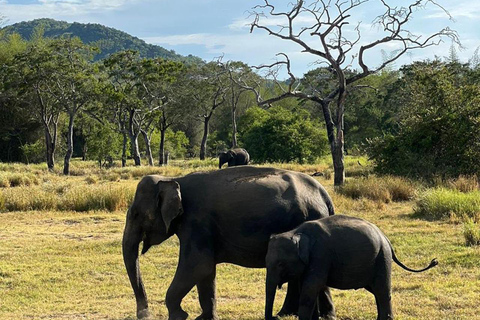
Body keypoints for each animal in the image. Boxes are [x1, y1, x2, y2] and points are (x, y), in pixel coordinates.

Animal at [124, 166, 334, 320]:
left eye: (135, 214)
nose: (144, 314)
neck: (174, 179)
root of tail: (324, 193)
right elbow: (206, 270)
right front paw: (205, 318)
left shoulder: (197, 222)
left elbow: (198, 264)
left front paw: (179, 316)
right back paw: (308, 315)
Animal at [266, 214, 438, 320]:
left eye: (280, 264)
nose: (274, 317)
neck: (296, 232)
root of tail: (386, 239)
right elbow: (308, 287)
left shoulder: (320, 256)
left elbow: (312, 286)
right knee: (376, 291)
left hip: (382, 258)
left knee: (382, 291)